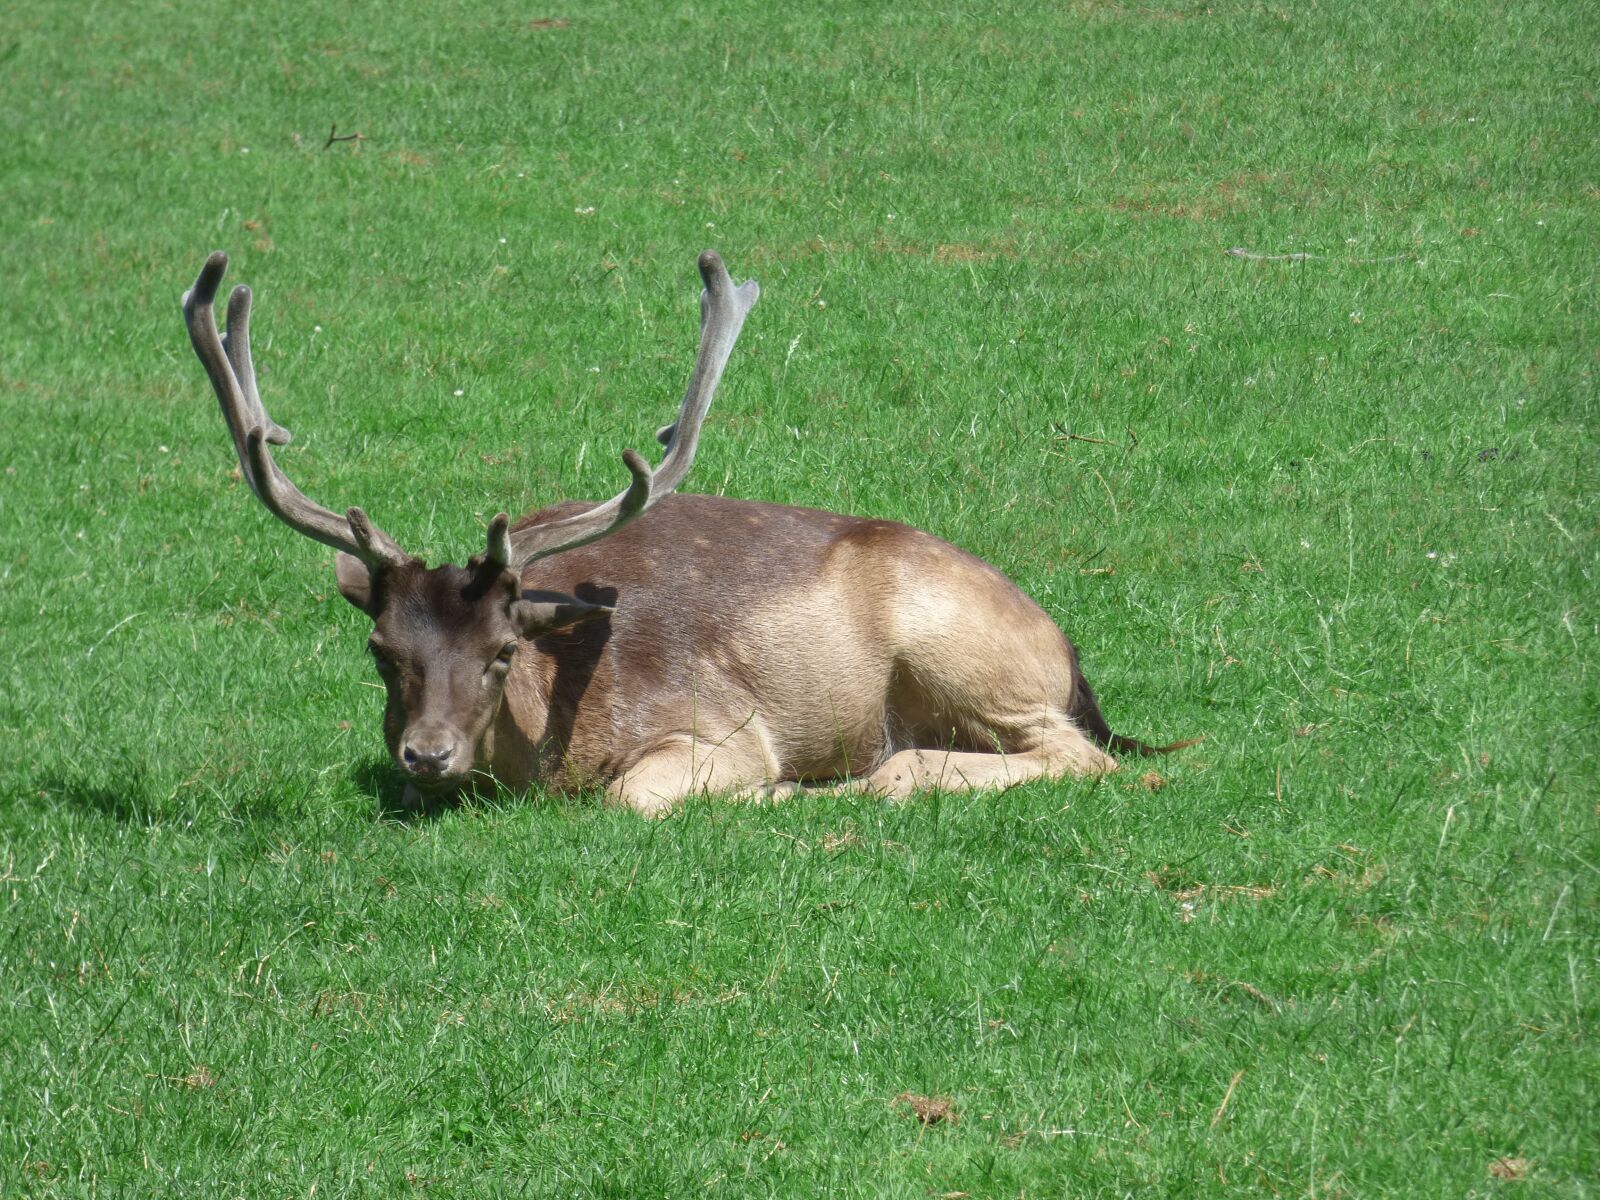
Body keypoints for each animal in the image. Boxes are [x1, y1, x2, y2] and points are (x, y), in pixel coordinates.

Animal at [182, 249, 1189, 815]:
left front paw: (773, 789)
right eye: (381, 650)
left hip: (963, 650)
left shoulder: (719, 725)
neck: (552, 731)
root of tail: (1067, 647)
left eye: (503, 650)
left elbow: (634, 797)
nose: (426, 752)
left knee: (1074, 755)